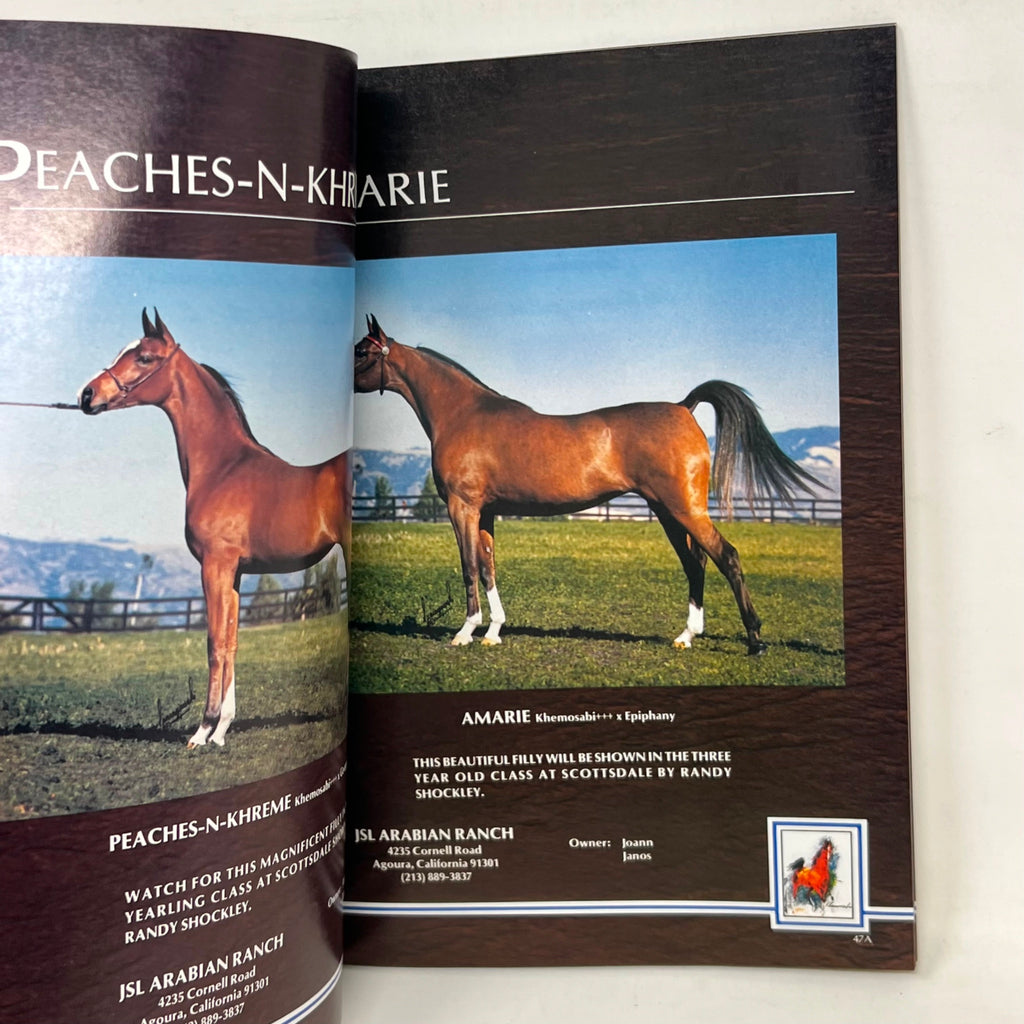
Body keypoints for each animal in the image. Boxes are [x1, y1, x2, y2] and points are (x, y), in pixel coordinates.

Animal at [79, 309, 351, 748]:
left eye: (144, 358)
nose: (87, 395)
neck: (223, 467)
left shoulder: (214, 566)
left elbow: (214, 643)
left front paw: (203, 730)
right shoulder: (236, 573)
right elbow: (233, 641)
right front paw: (223, 729)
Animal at [354, 315, 818, 655]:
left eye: (361, 352)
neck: (463, 413)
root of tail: (683, 407)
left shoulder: (461, 506)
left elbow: (469, 566)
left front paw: (466, 632)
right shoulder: (485, 512)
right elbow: (488, 566)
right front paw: (494, 631)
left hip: (684, 509)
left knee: (727, 556)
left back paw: (755, 640)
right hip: (668, 511)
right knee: (697, 563)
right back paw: (687, 636)